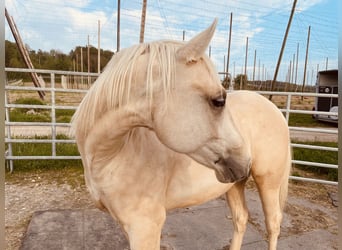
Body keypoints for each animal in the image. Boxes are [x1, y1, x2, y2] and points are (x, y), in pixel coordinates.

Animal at [71, 18, 290, 250]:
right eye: (219, 101)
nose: (244, 160)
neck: (112, 155)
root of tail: (274, 109)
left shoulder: (144, 227)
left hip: (268, 182)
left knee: (273, 223)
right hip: (234, 184)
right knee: (241, 219)